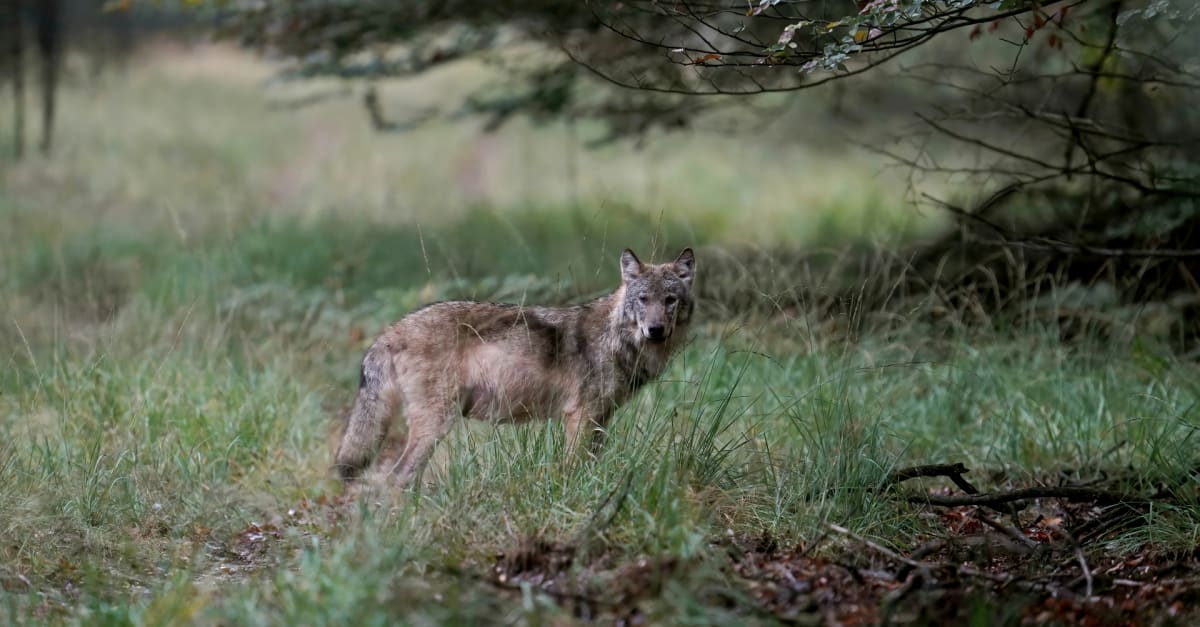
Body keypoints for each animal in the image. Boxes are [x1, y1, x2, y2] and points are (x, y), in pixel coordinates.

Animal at [334, 247, 697, 488]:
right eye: (643, 300)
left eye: (670, 300)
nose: (655, 330)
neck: (616, 339)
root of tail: (391, 330)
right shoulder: (580, 416)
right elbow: (573, 468)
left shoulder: (601, 419)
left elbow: (590, 465)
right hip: (436, 424)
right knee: (398, 478)